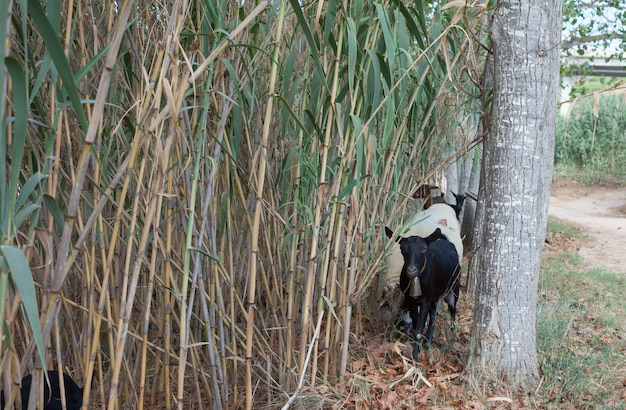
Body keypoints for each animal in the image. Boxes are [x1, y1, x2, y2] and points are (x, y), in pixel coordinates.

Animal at [386, 226, 458, 360]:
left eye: (424, 248)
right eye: (402, 248)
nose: (411, 270)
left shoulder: (425, 300)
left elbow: (419, 329)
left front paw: (415, 357)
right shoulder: (411, 299)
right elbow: (415, 323)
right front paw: (417, 347)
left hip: (453, 289)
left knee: (452, 309)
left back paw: (452, 334)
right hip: (435, 295)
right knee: (434, 312)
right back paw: (428, 339)